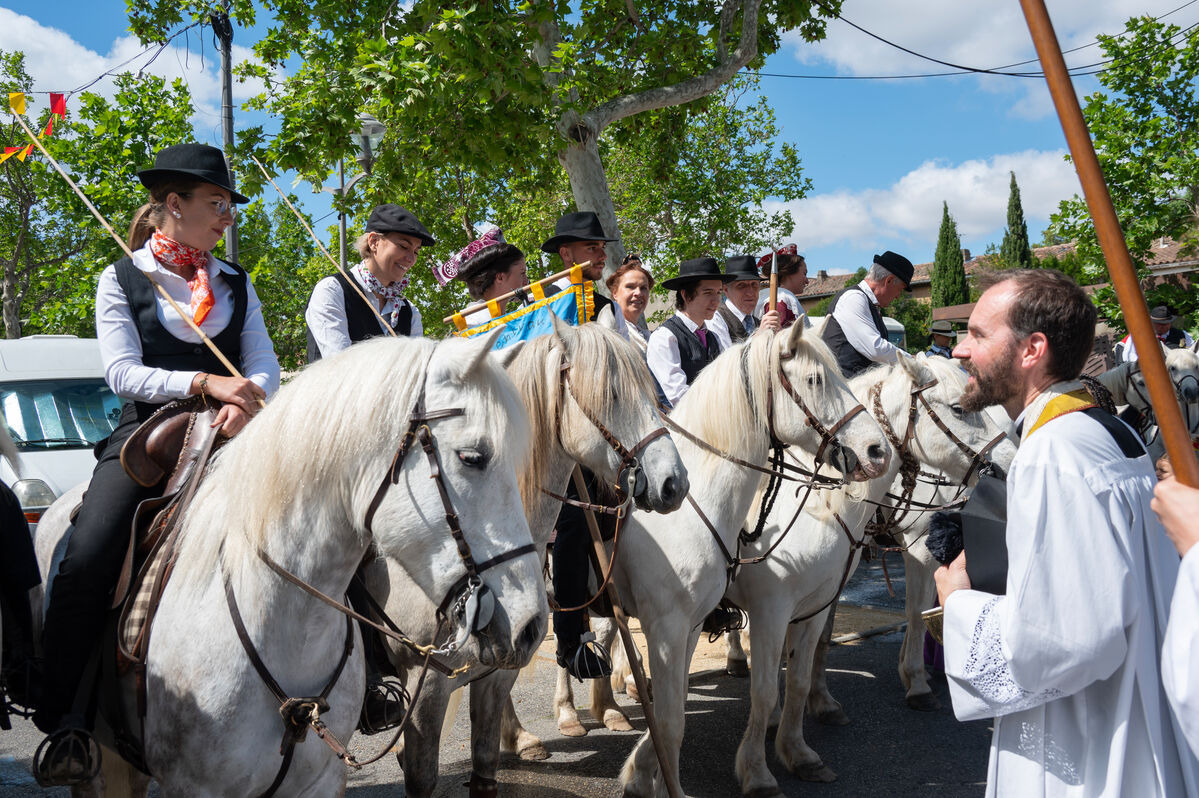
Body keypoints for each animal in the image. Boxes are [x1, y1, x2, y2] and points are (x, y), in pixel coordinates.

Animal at [609, 321, 892, 795]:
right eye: (815, 380)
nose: (878, 451)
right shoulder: (743, 614)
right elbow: (750, 695)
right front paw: (756, 772)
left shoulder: (805, 609)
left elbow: (791, 680)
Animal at [724, 354, 1016, 795]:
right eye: (959, 408)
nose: (1008, 466)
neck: (818, 505)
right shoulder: (916, 551)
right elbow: (914, 614)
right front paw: (917, 682)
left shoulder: (829, 587)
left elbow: (815, 650)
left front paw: (818, 710)